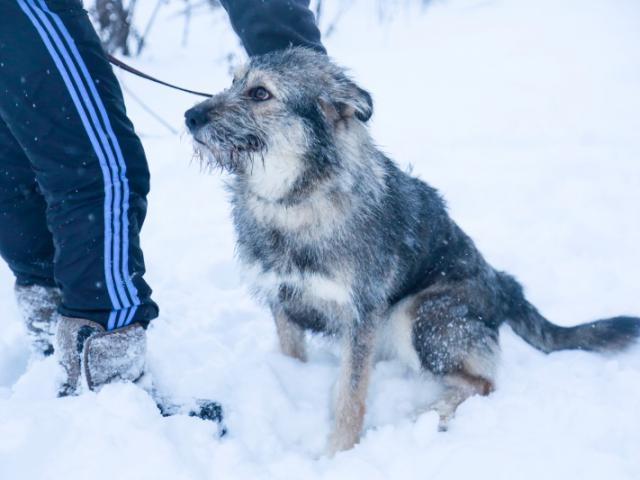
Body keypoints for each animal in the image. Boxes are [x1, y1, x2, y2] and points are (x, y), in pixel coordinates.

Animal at [184, 47, 640, 454]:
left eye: (260, 93)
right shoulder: (283, 301)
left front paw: (338, 455)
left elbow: (350, 398)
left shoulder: (362, 315)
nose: (189, 116)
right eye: (232, 82)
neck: (294, 202)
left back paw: (432, 415)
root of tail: (503, 286)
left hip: (416, 313)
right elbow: (293, 357)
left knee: (483, 383)